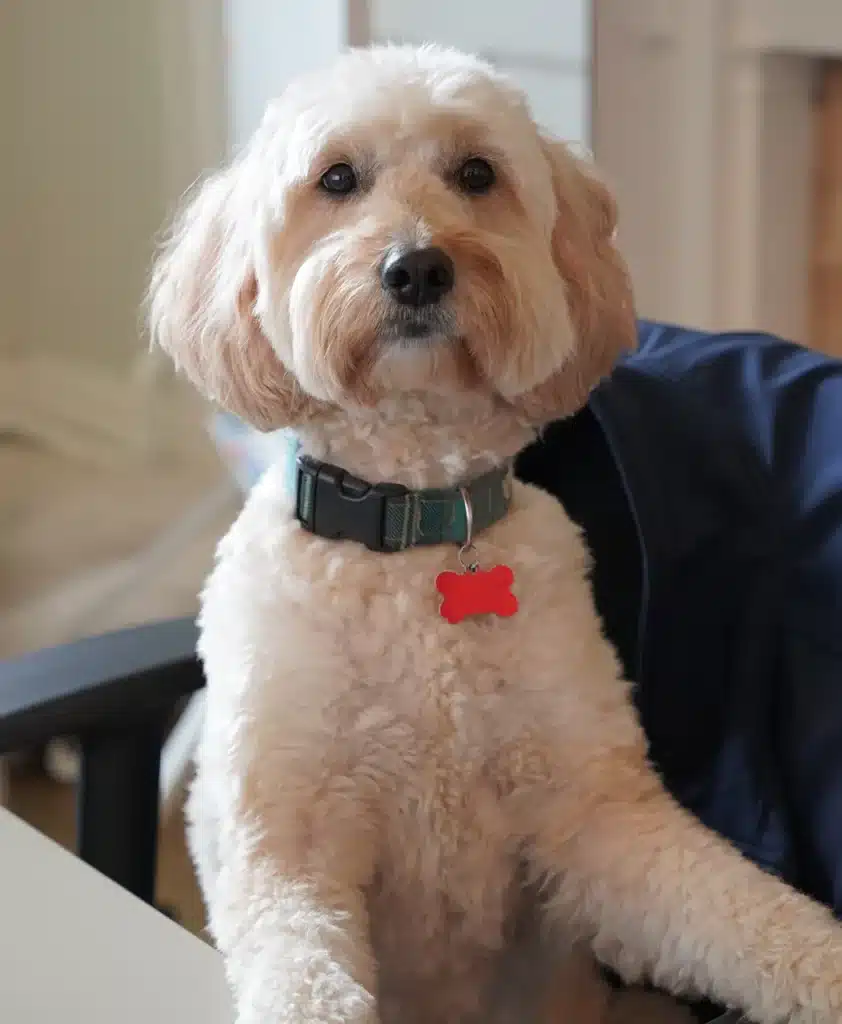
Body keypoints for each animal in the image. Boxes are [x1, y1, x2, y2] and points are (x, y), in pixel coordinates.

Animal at [148, 41, 842, 1024]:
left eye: (477, 173)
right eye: (337, 179)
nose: (417, 268)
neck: (415, 527)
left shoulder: (596, 815)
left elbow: (739, 912)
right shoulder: (287, 840)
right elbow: (301, 974)